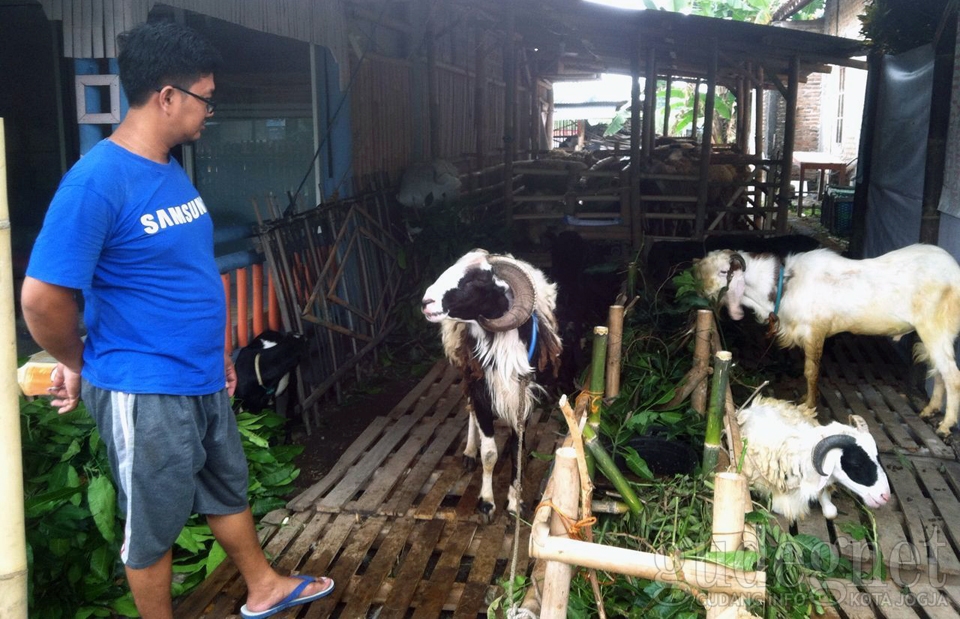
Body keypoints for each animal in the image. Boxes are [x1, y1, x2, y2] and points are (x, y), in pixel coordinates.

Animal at [422, 249, 564, 524]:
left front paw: (515, 503)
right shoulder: (481, 392)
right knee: (470, 411)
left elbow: (517, 449)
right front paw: (487, 504)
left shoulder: (522, 398)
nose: (426, 302)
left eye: (475, 281)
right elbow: (489, 454)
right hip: (467, 374)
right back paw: (469, 452)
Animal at [692, 243, 960, 436]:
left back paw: (945, 425)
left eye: (724, 271)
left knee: (952, 375)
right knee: (939, 371)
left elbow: (811, 371)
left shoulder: (814, 332)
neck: (784, 285)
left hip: (934, 327)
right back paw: (929, 410)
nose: (700, 290)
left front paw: (809, 405)